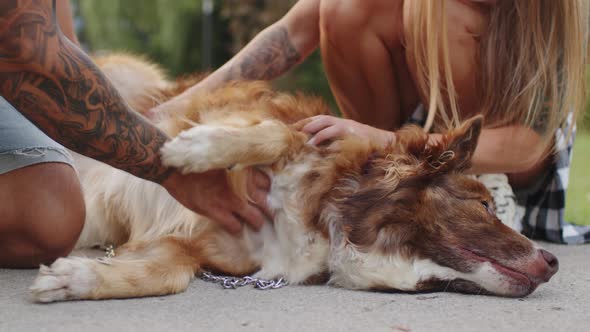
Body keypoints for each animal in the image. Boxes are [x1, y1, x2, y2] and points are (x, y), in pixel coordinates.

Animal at [31, 55, 560, 304]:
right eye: (485, 206)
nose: (553, 262)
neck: (330, 222)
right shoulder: (276, 127)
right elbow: (271, 134)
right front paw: (189, 148)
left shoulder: (192, 247)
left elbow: (165, 276)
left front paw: (78, 279)